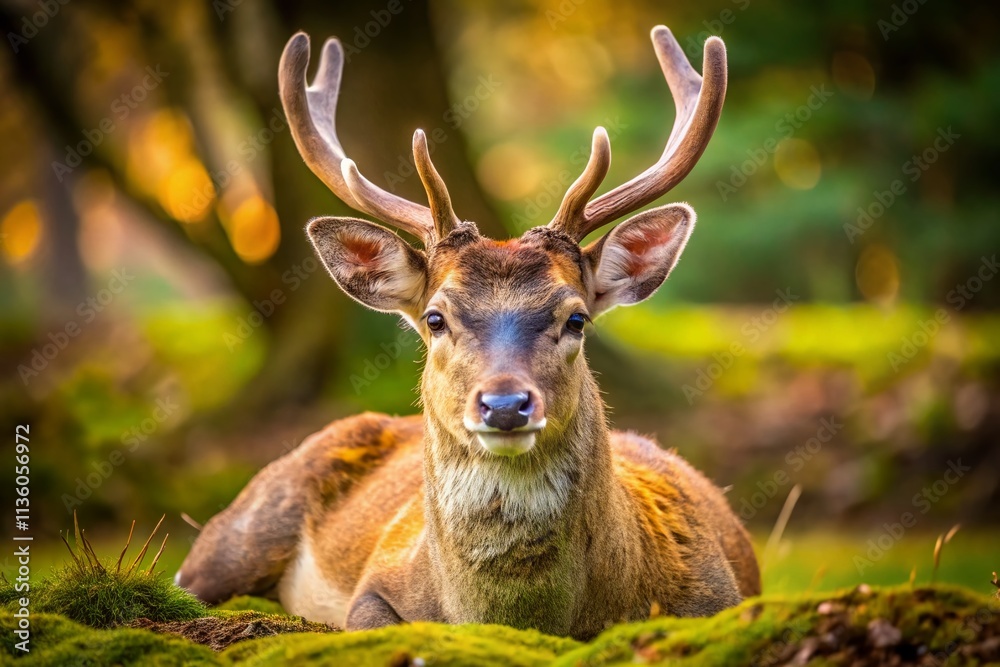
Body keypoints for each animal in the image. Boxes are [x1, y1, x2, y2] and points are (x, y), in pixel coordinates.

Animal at [176, 24, 760, 640]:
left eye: (575, 318)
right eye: (436, 318)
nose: (504, 405)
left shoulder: (719, 596)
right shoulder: (373, 589)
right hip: (249, 517)